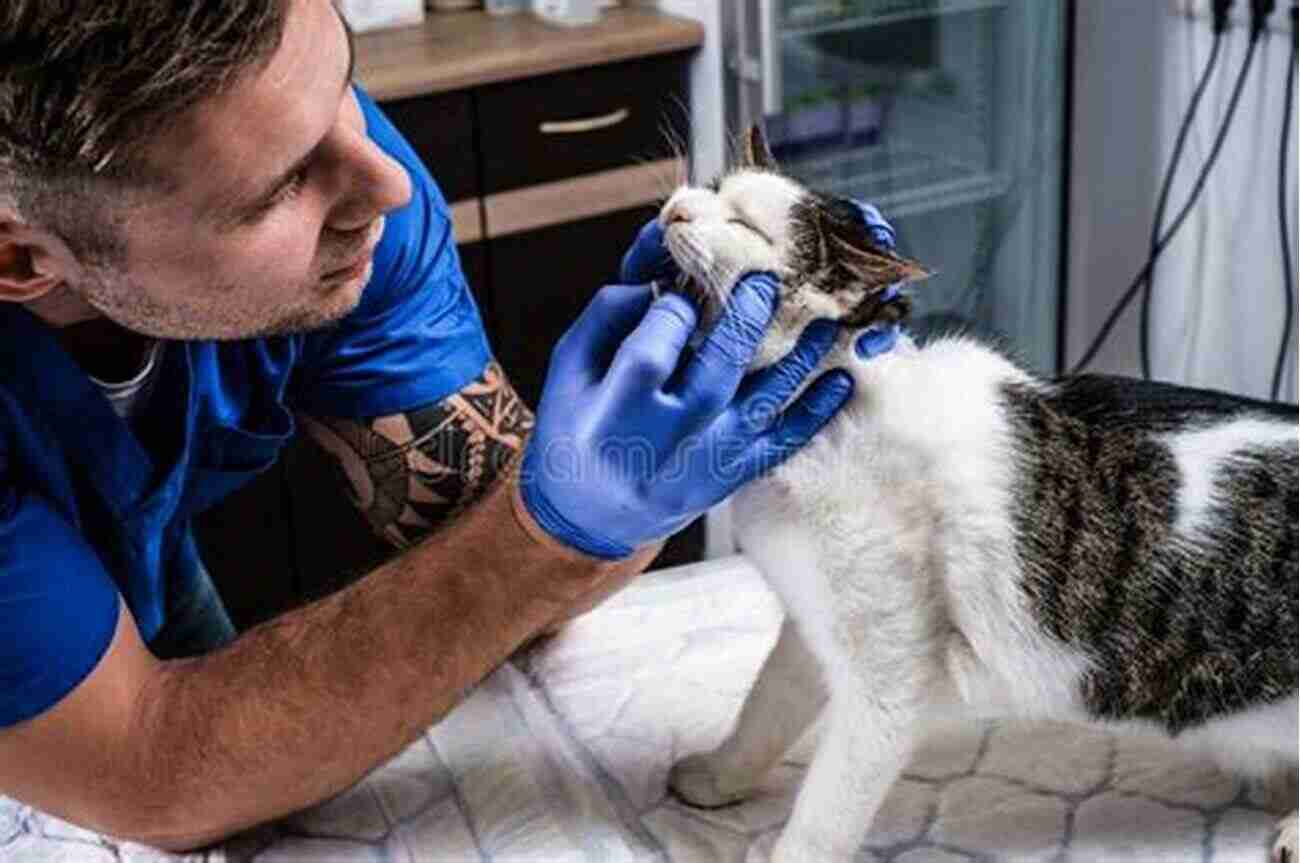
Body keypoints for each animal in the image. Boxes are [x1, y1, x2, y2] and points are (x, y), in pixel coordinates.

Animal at [660, 126, 1300, 863]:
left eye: (743, 224)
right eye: (712, 187)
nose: (675, 208)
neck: (826, 414)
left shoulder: (889, 684)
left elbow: (822, 815)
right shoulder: (810, 622)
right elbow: (764, 709)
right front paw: (716, 776)